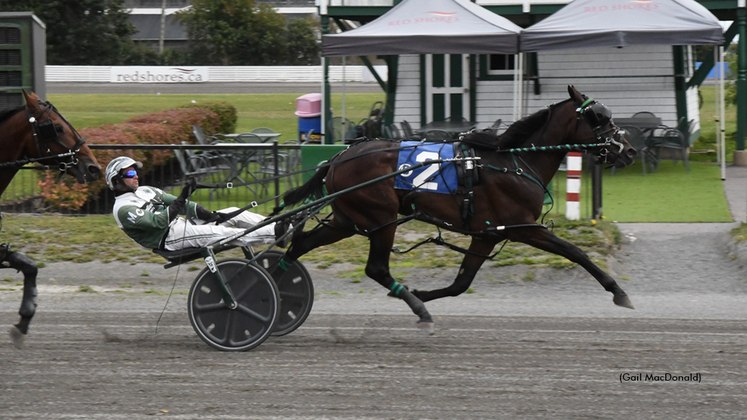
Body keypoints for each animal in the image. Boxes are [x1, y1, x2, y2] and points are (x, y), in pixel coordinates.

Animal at [274, 86, 636, 332]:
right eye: (600, 117)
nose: (629, 150)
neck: (513, 162)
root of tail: (337, 157)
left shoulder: (488, 234)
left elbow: (461, 283)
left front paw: (422, 290)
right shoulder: (523, 227)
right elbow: (576, 252)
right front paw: (618, 291)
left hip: (348, 220)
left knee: (300, 244)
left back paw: (277, 288)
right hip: (381, 218)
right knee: (375, 268)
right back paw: (418, 308)